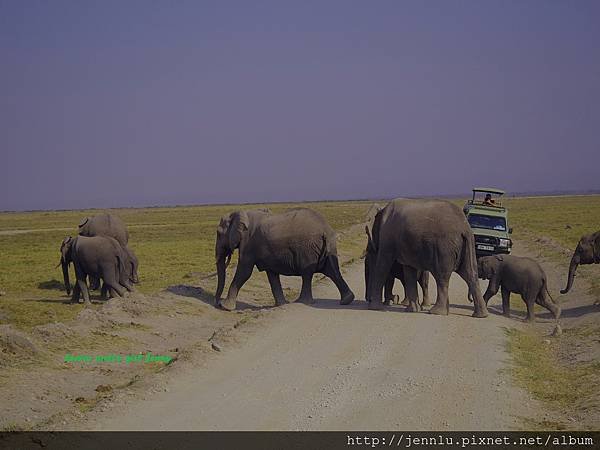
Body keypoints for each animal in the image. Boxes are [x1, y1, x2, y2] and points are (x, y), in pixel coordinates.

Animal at [214, 208, 354, 312]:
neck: (240, 213)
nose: (216, 303)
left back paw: (301, 302)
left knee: (307, 273)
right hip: (329, 247)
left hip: (308, 248)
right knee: (332, 271)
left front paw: (225, 307)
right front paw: (281, 304)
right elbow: (272, 275)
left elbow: (244, 272)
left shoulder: (249, 244)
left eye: (218, 234)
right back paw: (347, 300)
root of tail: (325, 229)